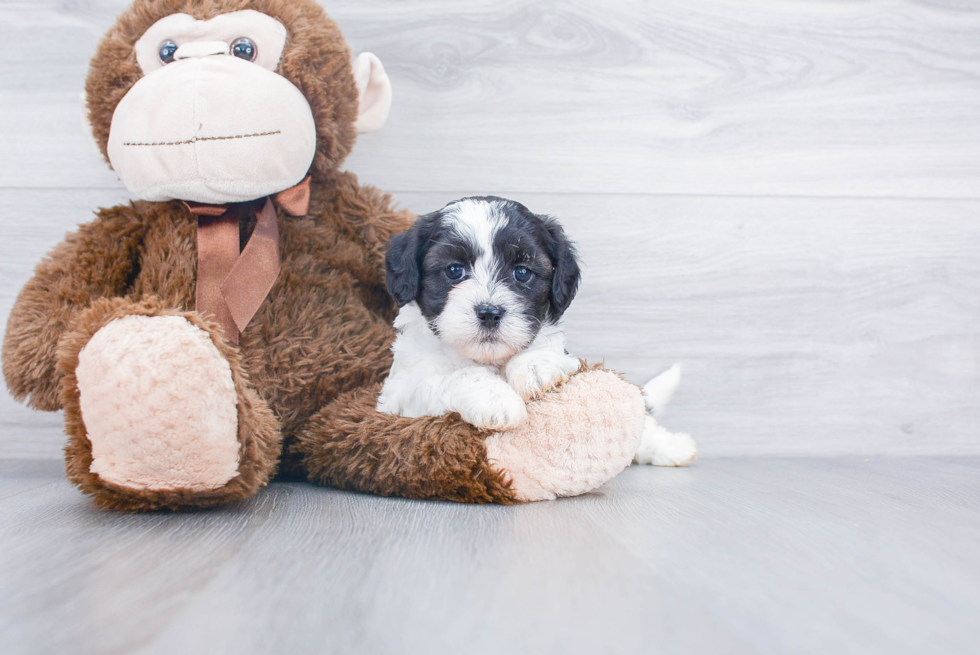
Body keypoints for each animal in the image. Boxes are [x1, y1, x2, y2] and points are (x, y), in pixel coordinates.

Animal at [378, 196, 584, 430]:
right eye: (454, 270)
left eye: (522, 272)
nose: (489, 313)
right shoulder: (402, 392)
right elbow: (461, 375)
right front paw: (496, 400)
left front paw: (537, 366)